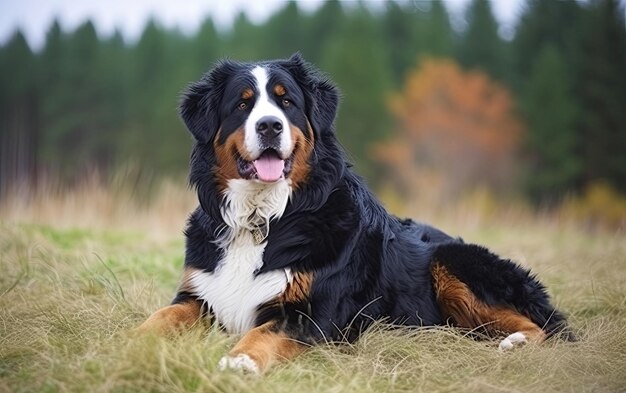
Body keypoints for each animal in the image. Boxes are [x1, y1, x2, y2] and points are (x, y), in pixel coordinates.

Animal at [139, 53, 572, 372]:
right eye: (243, 104)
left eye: (287, 102)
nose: (269, 125)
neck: (264, 218)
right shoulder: (201, 295)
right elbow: (163, 316)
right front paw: (133, 341)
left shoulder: (314, 313)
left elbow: (264, 332)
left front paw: (239, 362)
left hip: (453, 261)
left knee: (545, 327)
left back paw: (516, 343)